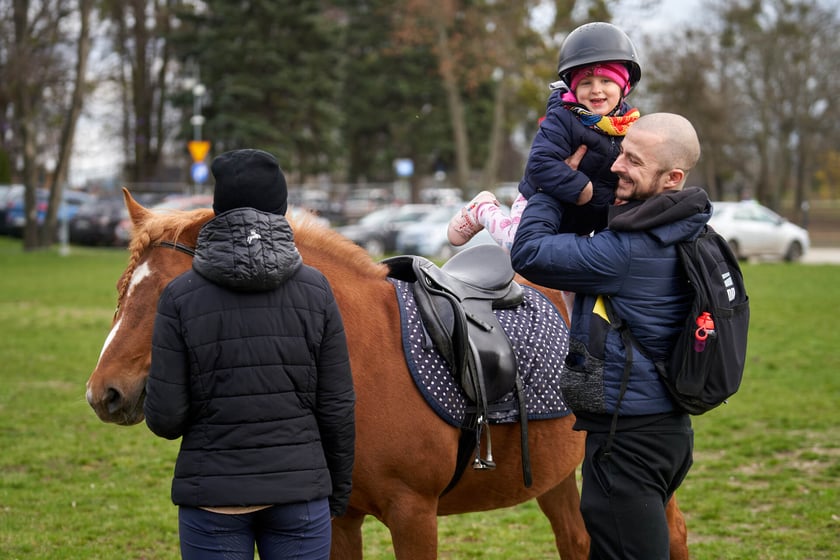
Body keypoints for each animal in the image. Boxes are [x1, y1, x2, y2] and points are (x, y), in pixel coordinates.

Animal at [87, 190, 688, 556]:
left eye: (172, 296)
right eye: (120, 290)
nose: (103, 394)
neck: (364, 359)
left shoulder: (414, 515)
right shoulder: (339, 518)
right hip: (556, 471)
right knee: (576, 540)